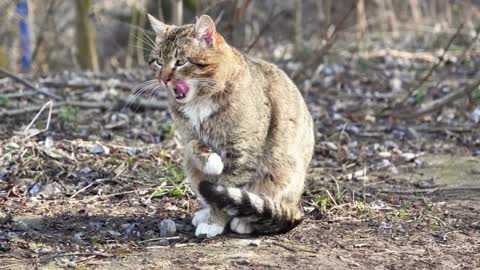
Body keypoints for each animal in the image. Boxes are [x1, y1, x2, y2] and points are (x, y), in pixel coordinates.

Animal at [145, 13, 316, 237]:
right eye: (158, 61)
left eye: (180, 62)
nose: (163, 79)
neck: (200, 100)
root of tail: (296, 207)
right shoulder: (189, 136)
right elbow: (195, 146)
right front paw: (213, 162)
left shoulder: (242, 151)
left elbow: (227, 188)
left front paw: (214, 222)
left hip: (282, 173)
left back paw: (245, 221)